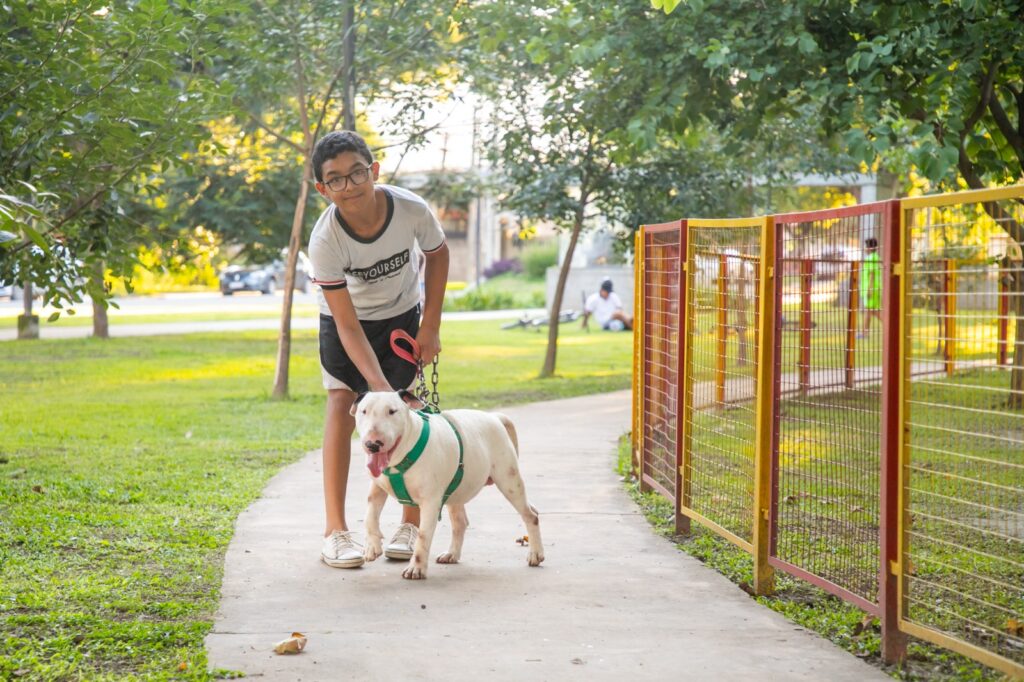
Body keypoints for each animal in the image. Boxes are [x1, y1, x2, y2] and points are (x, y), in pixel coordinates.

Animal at [351, 390, 544, 579]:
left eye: (392, 411)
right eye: (363, 411)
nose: (372, 444)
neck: (400, 457)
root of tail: (494, 417)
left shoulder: (430, 502)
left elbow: (423, 536)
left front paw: (416, 568)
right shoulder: (376, 487)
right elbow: (369, 516)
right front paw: (372, 546)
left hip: (508, 480)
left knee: (531, 515)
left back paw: (535, 554)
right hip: (457, 488)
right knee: (460, 523)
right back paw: (452, 554)